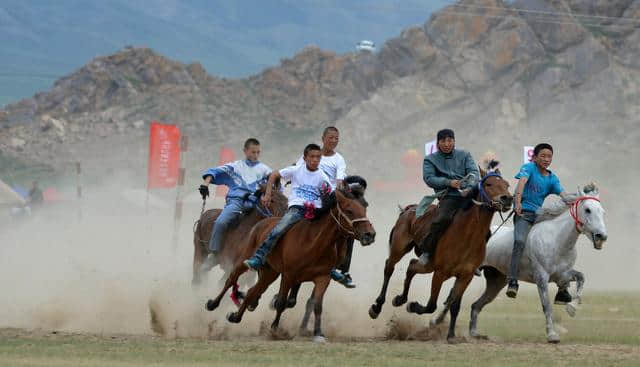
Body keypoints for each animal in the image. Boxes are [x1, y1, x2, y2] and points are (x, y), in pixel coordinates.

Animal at [204, 188, 376, 344]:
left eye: (364, 209)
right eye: (349, 210)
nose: (370, 234)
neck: (314, 243)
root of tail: (262, 223)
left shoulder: (323, 277)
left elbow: (317, 305)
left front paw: (318, 333)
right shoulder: (289, 275)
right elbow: (281, 302)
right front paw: (274, 329)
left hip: (269, 272)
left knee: (253, 291)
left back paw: (235, 316)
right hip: (244, 259)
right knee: (231, 279)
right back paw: (212, 304)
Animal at [370, 165, 510, 344]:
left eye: (506, 184)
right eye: (489, 184)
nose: (507, 199)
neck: (468, 235)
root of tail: (409, 210)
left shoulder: (465, 276)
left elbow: (454, 305)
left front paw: (451, 335)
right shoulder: (440, 273)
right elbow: (432, 304)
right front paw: (413, 306)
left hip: (427, 265)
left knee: (411, 266)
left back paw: (400, 299)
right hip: (399, 249)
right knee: (389, 267)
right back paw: (377, 307)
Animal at [462, 185, 608, 344]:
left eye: (602, 211)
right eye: (587, 209)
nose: (602, 236)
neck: (556, 240)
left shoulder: (562, 275)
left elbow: (581, 278)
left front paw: (572, 307)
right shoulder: (541, 277)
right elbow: (547, 306)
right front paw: (552, 335)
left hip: (496, 283)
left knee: (476, 306)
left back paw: (474, 333)